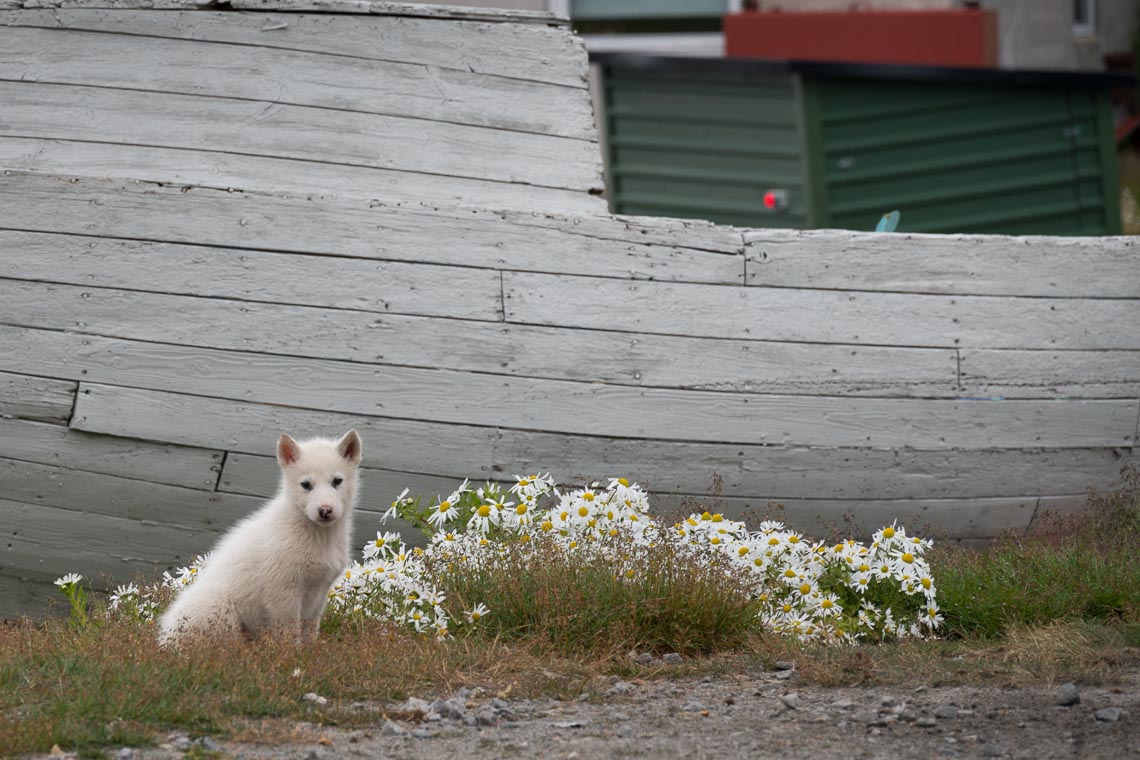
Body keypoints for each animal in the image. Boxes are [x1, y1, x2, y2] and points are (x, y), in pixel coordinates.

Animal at [158, 430, 362, 647]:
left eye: (337, 481)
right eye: (306, 485)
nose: (325, 510)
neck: (319, 536)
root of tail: (165, 642)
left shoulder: (319, 593)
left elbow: (310, 632)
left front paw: (310, 653)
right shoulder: (283, 593)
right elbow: (289, 634)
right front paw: (293, 654)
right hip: (220, 609)